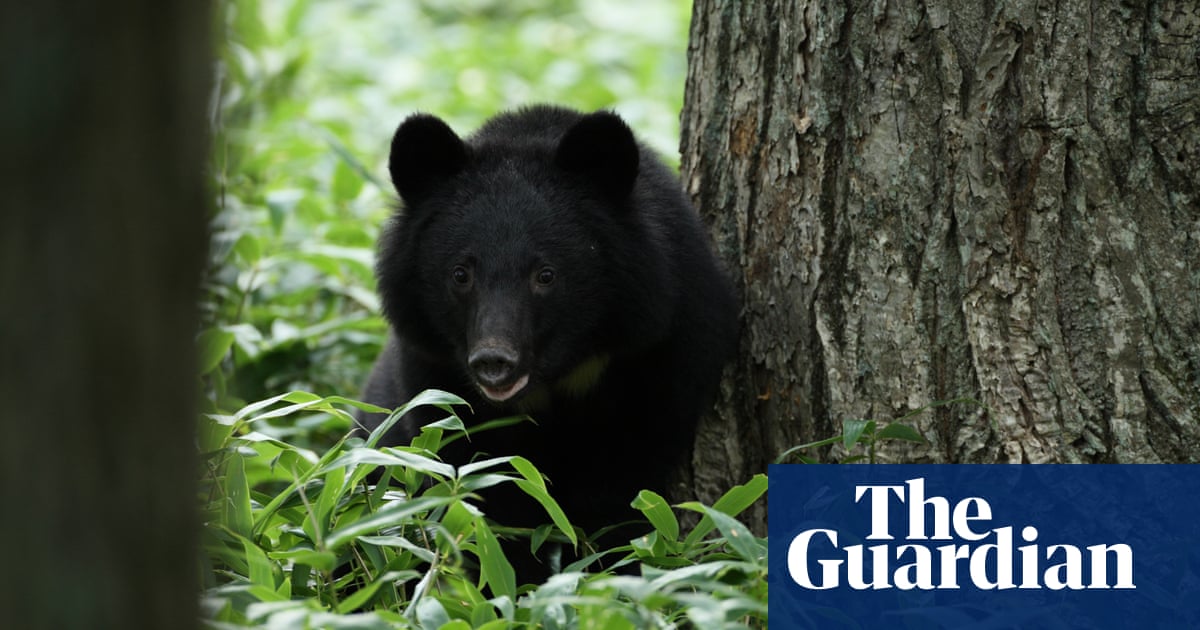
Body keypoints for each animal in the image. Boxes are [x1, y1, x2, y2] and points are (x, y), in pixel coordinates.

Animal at [355, 104, 734, 580]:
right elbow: (481, 487)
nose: (494, 361)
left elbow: (622, 496)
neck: (556, 377)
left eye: (546, 275)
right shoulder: (434, 371)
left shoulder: (659, 353)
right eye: (461, 273)